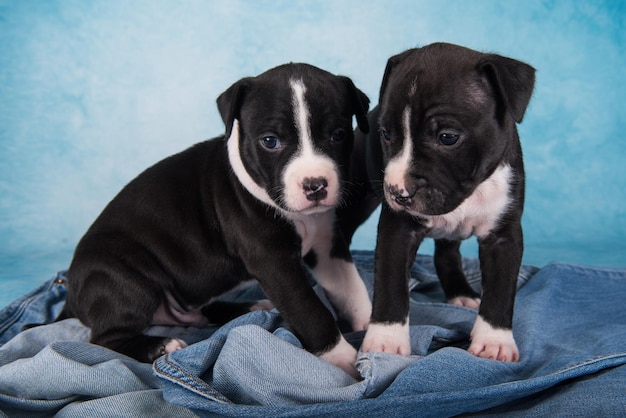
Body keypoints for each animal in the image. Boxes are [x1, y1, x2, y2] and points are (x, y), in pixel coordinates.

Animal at [58, 63, 370, 378]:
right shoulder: (274, 263)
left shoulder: (327, 248)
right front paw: (342, 358)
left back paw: (250, 308)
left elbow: (351, 288)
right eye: (270, 141)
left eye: (338, 135)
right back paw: (160, 345)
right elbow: (309, 309)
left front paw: (372, 330)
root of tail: (72, 292)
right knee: (105, 339)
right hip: (122, 277)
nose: (315, 185)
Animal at [354, 43, 532, 362]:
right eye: (386, 134)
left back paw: (461, 291)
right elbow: (390, 282)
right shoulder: (397, 229)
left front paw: (494, 341)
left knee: (446, 254)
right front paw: (386, 339)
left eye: (447, 137)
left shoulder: (504, 235)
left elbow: (501, 288)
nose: (398, 192)